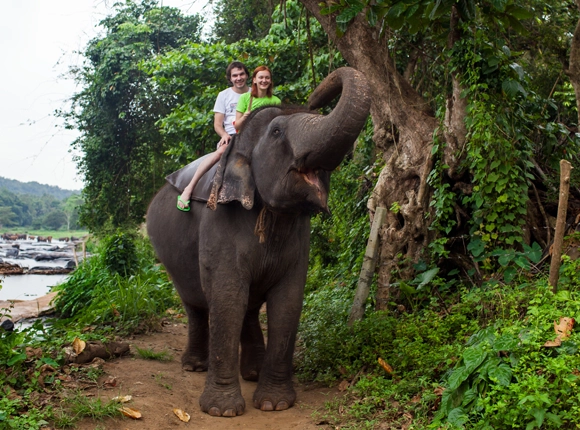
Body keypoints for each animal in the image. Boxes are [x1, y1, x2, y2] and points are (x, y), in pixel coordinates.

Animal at [146, 67, 372, 416]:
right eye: (277, 131)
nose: (315, 96)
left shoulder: (299, 236)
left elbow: (288, 301)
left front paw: (274, 404)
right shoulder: (219, 221)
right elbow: (227, 297)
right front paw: (223, 411)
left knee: (249, 307)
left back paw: (251, 372)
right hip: (167, 250)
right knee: (195, 304)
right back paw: (194, 366)